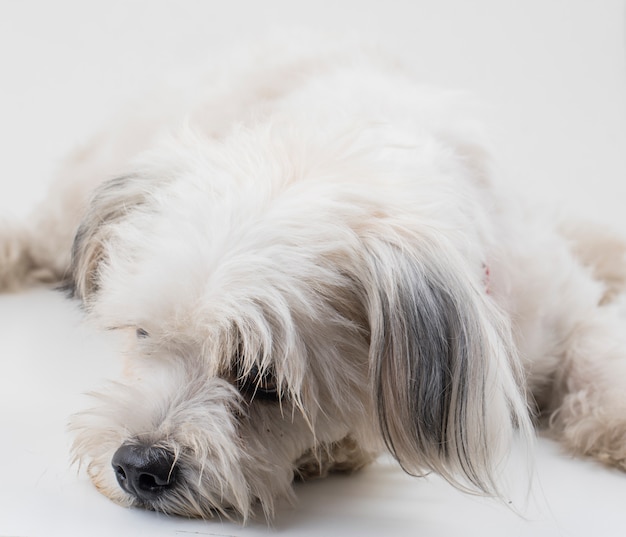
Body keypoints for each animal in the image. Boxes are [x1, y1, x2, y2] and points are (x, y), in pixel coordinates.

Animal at [1, 42, 624, 520]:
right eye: (142, 336)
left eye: (263, 379)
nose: (137, 466)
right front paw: (338, 447)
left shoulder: (557, 307)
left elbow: (596, 343)